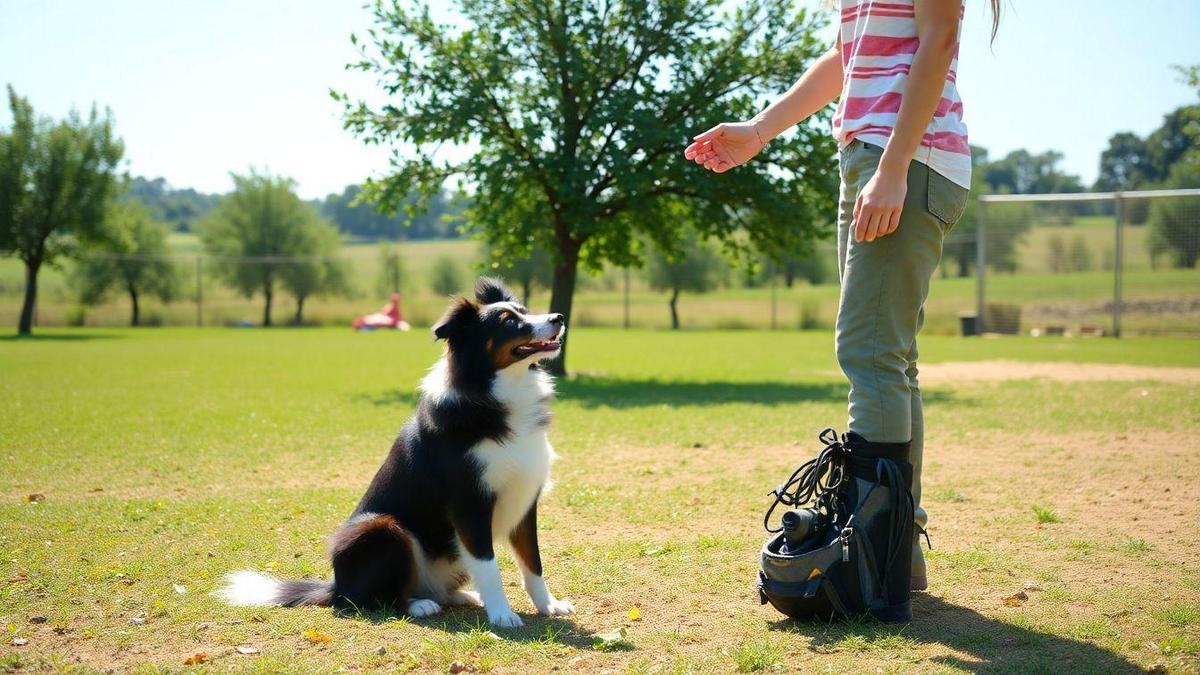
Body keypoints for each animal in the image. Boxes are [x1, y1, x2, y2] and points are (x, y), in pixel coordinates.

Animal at [222, 276, 576, 624]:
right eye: (508, 322)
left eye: (525, 311)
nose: (558, 318)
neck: (493, 393)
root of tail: (335, 586)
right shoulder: (470, 503)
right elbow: (488, 566)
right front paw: (502, 614)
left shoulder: (525, 499)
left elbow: (533, 562)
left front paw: (548, 605)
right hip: (382, 528)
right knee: (372, 599)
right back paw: (418, 605)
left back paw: (459, 596)